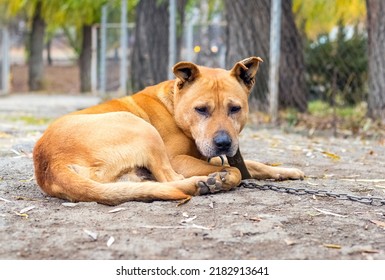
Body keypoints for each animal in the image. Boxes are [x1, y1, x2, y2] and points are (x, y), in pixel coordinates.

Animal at [33, 57, 304, 206]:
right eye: (201, 109)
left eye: (235, 108)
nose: (224, 143)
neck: (174, 107)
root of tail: (49, 164)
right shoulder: (179, 159)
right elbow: (236, 169)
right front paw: (224, 176)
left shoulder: (210, 155)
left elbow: (255, 165)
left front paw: (287, 171)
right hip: (142, 129)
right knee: (170, 179)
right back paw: (205, 182)